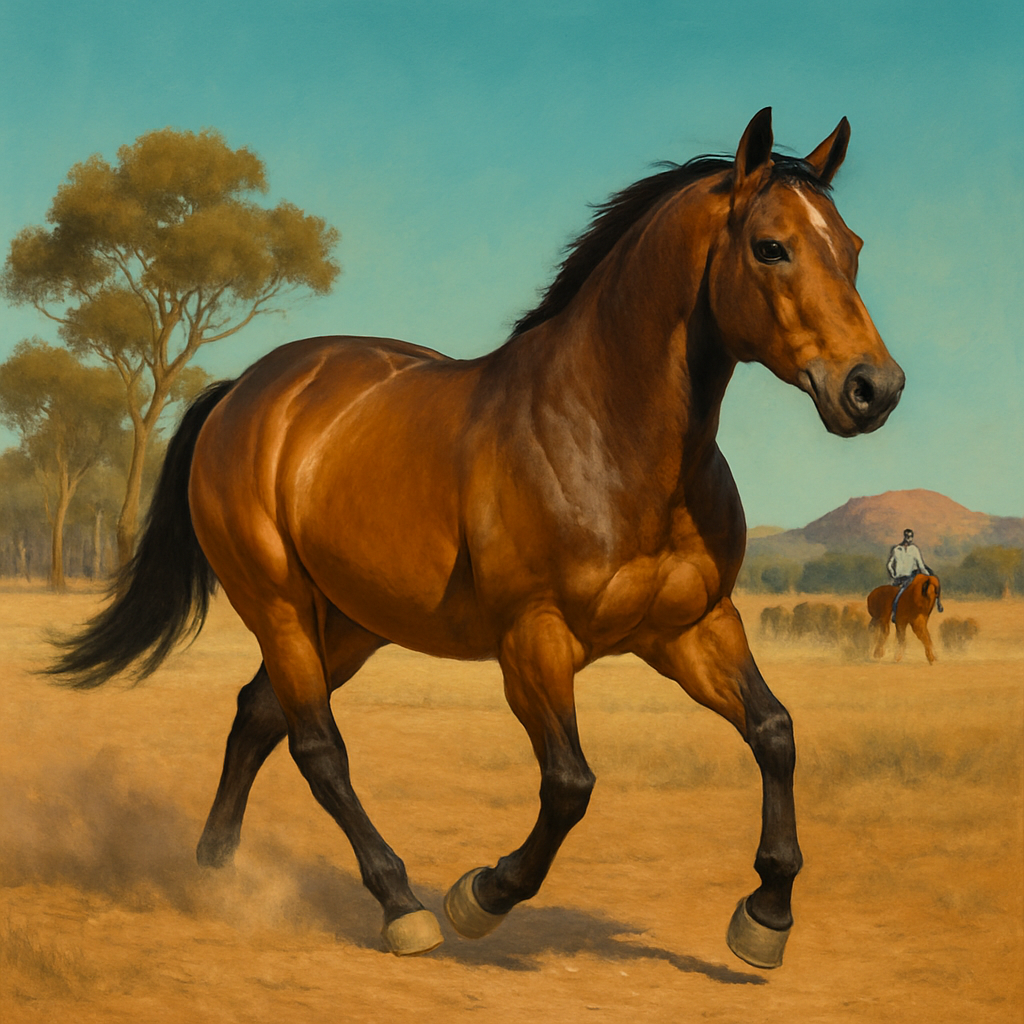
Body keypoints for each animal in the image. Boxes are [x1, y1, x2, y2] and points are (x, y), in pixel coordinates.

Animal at [49, 109, 903, 970]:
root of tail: (245, 392)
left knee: (259, 714)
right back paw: (401, 906)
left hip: (353, 622)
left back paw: (215, 868)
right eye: (771, 246)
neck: (605, 435)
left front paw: (766, 914)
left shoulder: (693, 628)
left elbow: (774, 732)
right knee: (317, 746)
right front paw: (481, 895)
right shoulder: (534, 640)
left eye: (854, 246)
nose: (874, 389)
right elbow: (570, 784)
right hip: (279, 606)